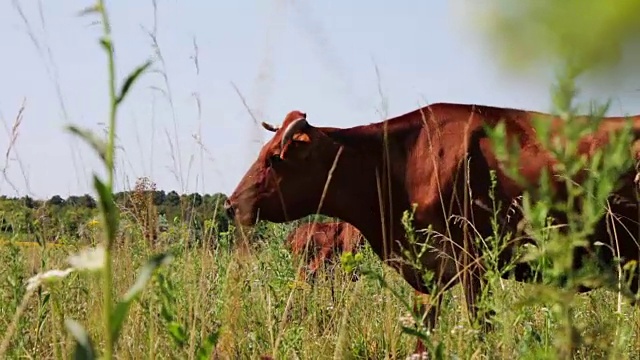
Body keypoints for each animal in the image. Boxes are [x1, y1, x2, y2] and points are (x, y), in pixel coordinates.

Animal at [224, 102, 640, 356]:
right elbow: (424, 335)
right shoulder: (428, 272)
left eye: (274, 158)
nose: (231, 204)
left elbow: (480, 329)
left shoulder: (475, 265)